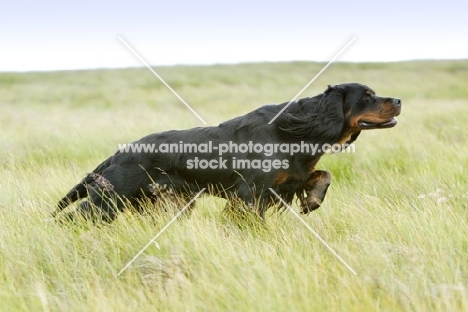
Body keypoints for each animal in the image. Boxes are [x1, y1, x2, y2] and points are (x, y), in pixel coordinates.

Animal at [54, 83, 398, 222]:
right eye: (366, 96)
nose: (398, 100)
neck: (297, 130)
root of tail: (119, 154)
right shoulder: (250, 192)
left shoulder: (288, 179)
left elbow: (323, 174)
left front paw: (312, 200)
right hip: (111, 199)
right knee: (74, 217)